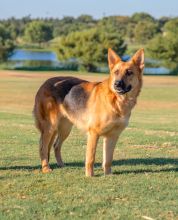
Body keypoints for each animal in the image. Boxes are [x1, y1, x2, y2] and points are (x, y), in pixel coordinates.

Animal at [33, 47, 145, 175]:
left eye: (129, 72)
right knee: (43, 147)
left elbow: (108, 159)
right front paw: (89, 175)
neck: (117, 101)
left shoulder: (112, 136)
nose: (117, 84)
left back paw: (61, 164)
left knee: (56, 146)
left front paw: (108, 175)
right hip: (50, 128)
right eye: (116, 72)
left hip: (65, 129)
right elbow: (91, 158)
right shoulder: (93, 133)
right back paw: (46, 168)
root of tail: (44, 83)